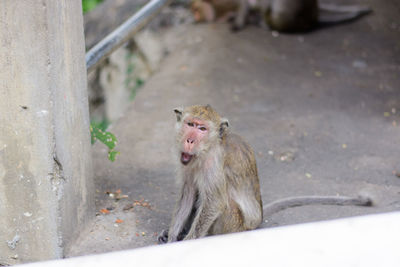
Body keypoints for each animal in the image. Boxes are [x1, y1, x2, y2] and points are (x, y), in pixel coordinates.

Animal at [158, 105, 370, 244]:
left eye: (202, 128)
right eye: (190, 124)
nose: (190, 140)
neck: (207, 150)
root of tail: (258, 219)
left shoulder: (214, 164)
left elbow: (215, 202)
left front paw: (188, 241)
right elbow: (188, 194)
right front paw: (172, 237)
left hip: (236, 226)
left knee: (226, 204)